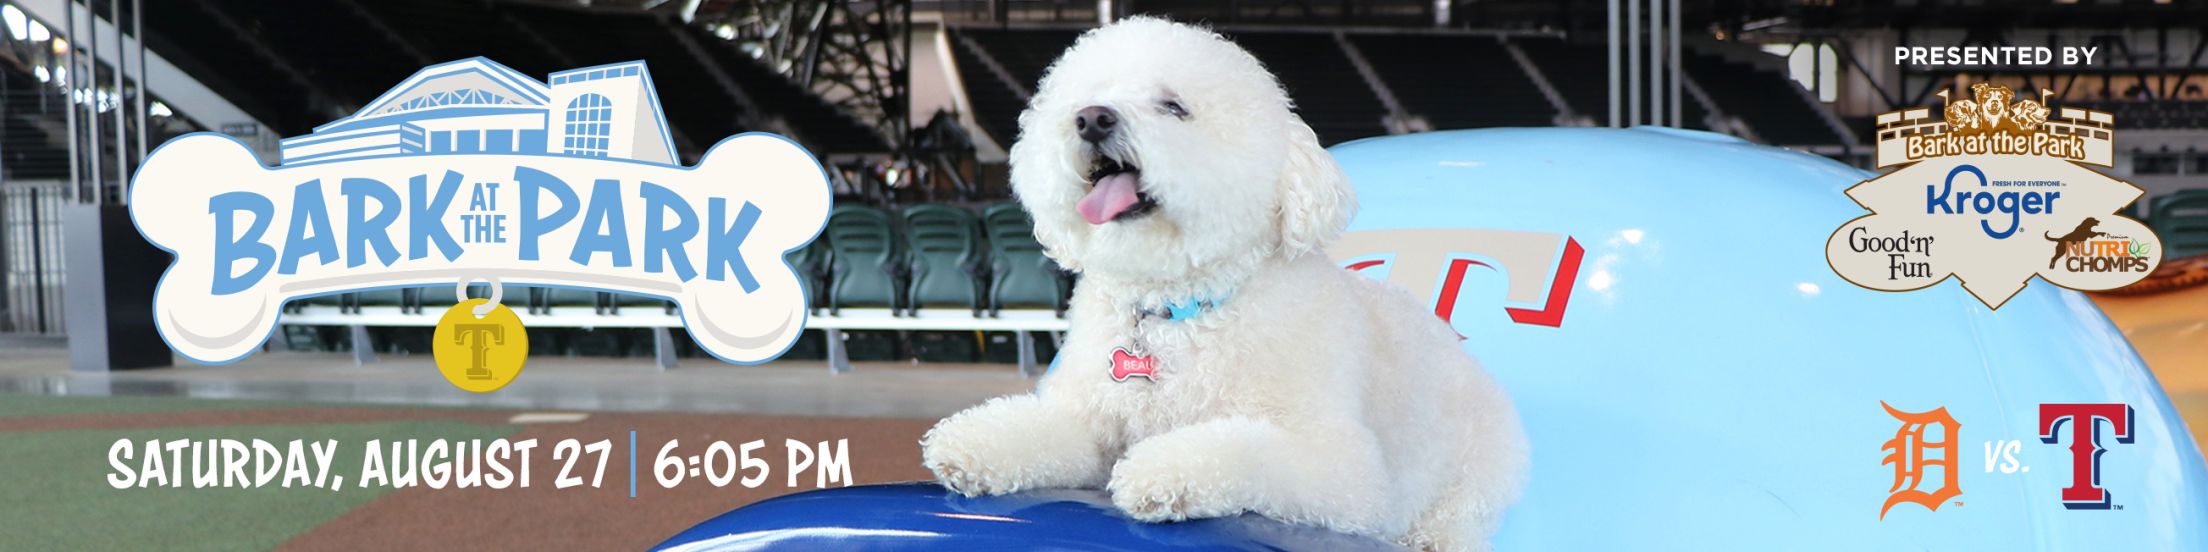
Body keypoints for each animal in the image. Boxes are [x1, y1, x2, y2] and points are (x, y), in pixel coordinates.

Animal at [922, 17, 1527, 552]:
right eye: (1087, 98)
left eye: (1173, 107)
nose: (1092, 118)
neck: (1179, 312)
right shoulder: (1091, 424)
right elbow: (1046, 432)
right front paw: (973, 441)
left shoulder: (1344, 469)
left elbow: (1241, 448)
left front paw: (1162, 472)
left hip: (1474, 473)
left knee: (1456, 519)